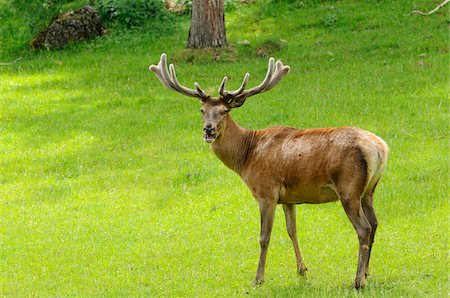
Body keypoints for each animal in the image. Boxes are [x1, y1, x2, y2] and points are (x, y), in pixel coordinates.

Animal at [149, 54, 388, 288]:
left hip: (349, 188)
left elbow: (264, 237)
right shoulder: (289, 198)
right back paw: (367, 273)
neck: (246, 156)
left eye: (224, 111)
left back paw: (358, 280)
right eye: (202, 111)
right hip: (369, 190)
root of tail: (380, 147)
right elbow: (292, 230)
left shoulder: (266, 193)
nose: (208, 130)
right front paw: (302, 271)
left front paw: (258, 278)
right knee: (375, 223)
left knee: (364, 228)